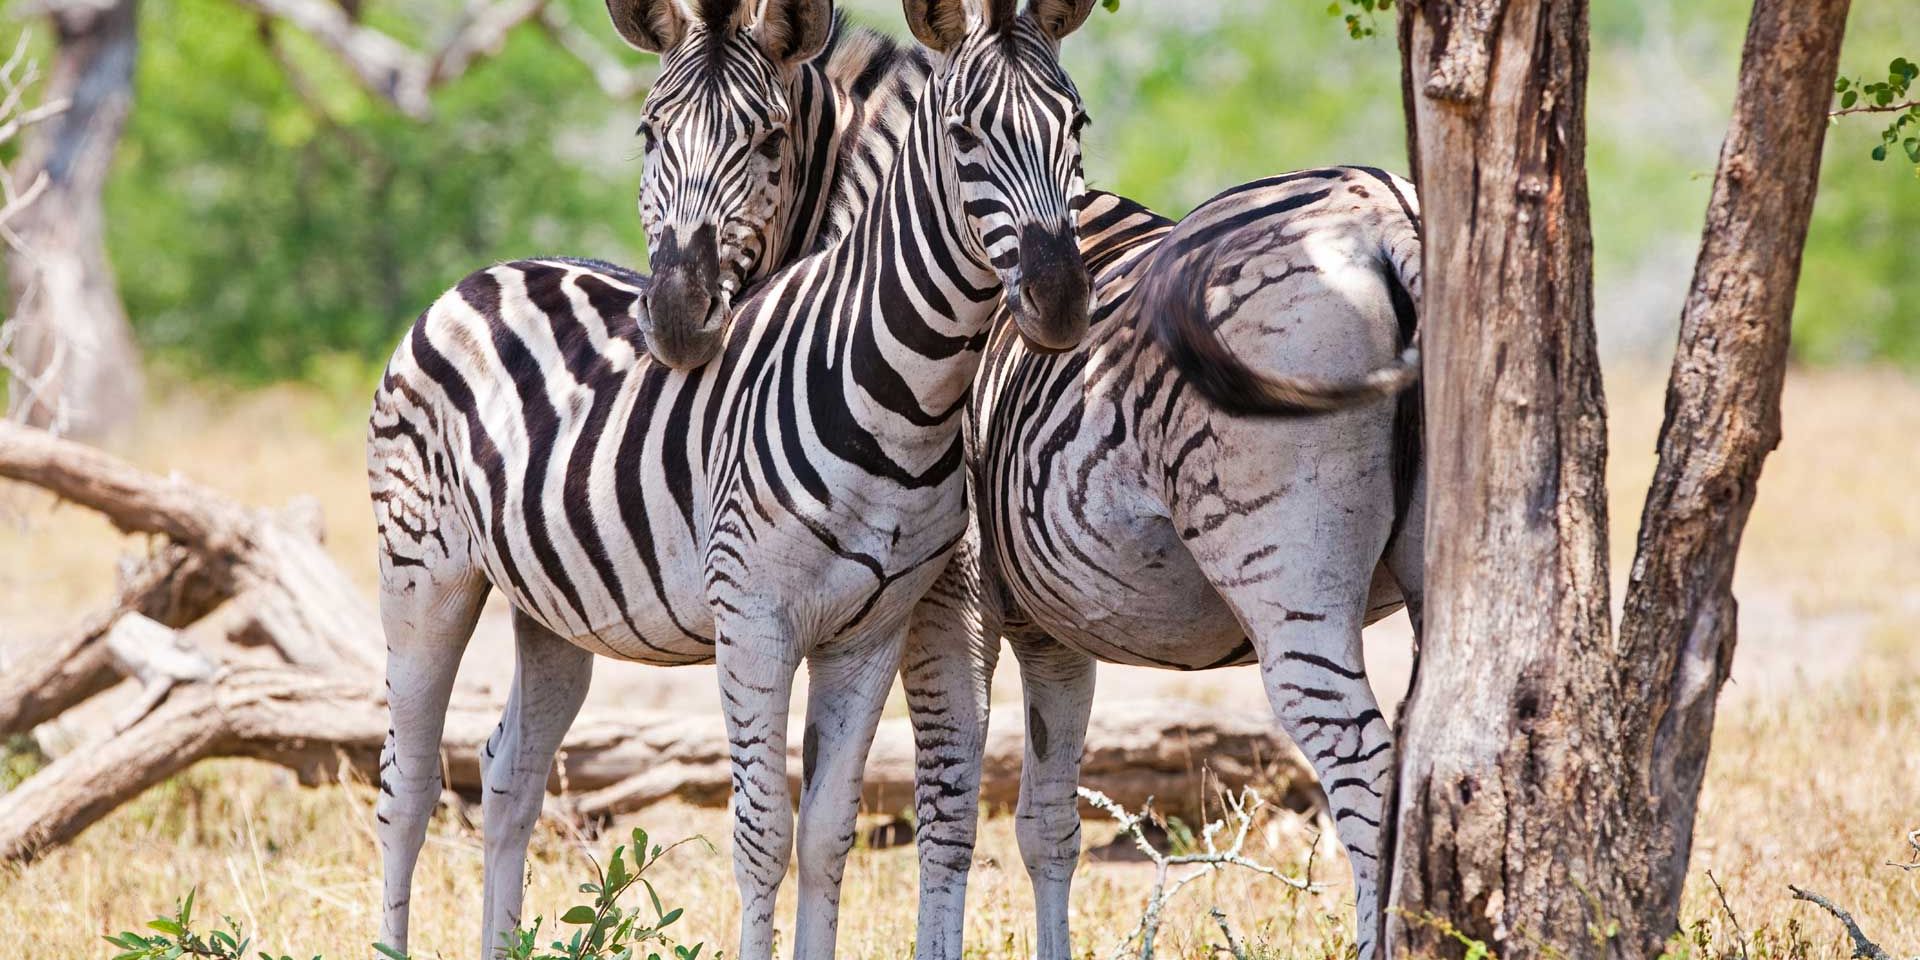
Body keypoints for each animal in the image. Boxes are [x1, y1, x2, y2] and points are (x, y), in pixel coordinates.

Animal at [364, 1, 1104, 957]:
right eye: (964, 133)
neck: (902, 390)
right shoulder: (756, 621)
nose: (1060, 302)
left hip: (554, 609)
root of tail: (484, 276)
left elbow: (828, 832)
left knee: (508, 773)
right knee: (407, 787)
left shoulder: (871, 632)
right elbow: (764, 833)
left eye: (1077, 127)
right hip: (423, 575)